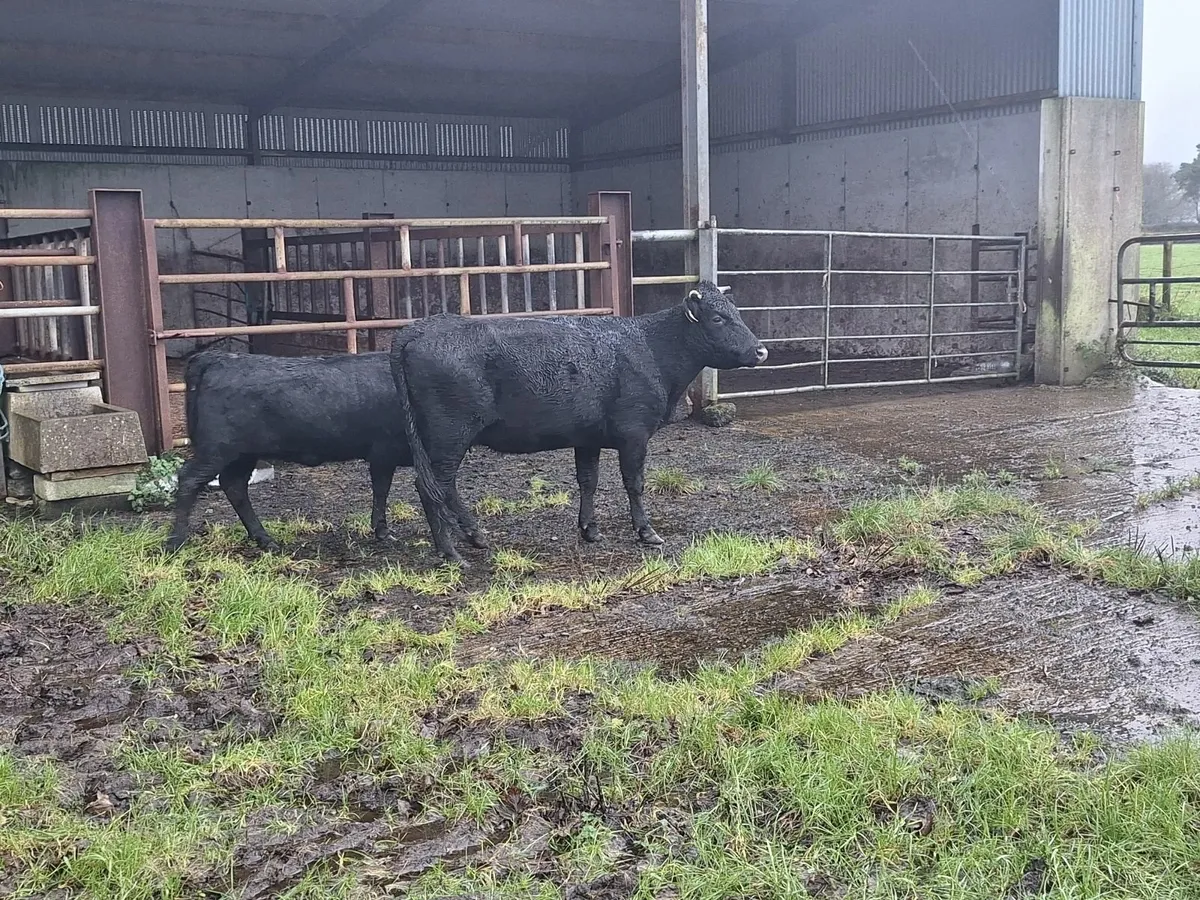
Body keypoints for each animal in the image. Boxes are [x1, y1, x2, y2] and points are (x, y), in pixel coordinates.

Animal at [164, 350, 413, 553]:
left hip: (242, 454)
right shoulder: (384, 451)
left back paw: (265, 539)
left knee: (234, 486)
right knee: (189, 479)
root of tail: (215, 358)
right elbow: (382, 490)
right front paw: (383, 531)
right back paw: (175, 542)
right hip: (217, 450)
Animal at [390, 281, 768, 563]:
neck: (651, 347)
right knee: (432, 486)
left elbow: (588, 481)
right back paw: (450, 550)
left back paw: (475, 535)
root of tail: (423, 326)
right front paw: (646, 531)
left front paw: (590, 528)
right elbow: (634, 482)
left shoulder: (588, 437)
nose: (761, 351)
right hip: (448, 435)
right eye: (717, 318)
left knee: (445, 487)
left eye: (735, 312)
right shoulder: (634, 433)